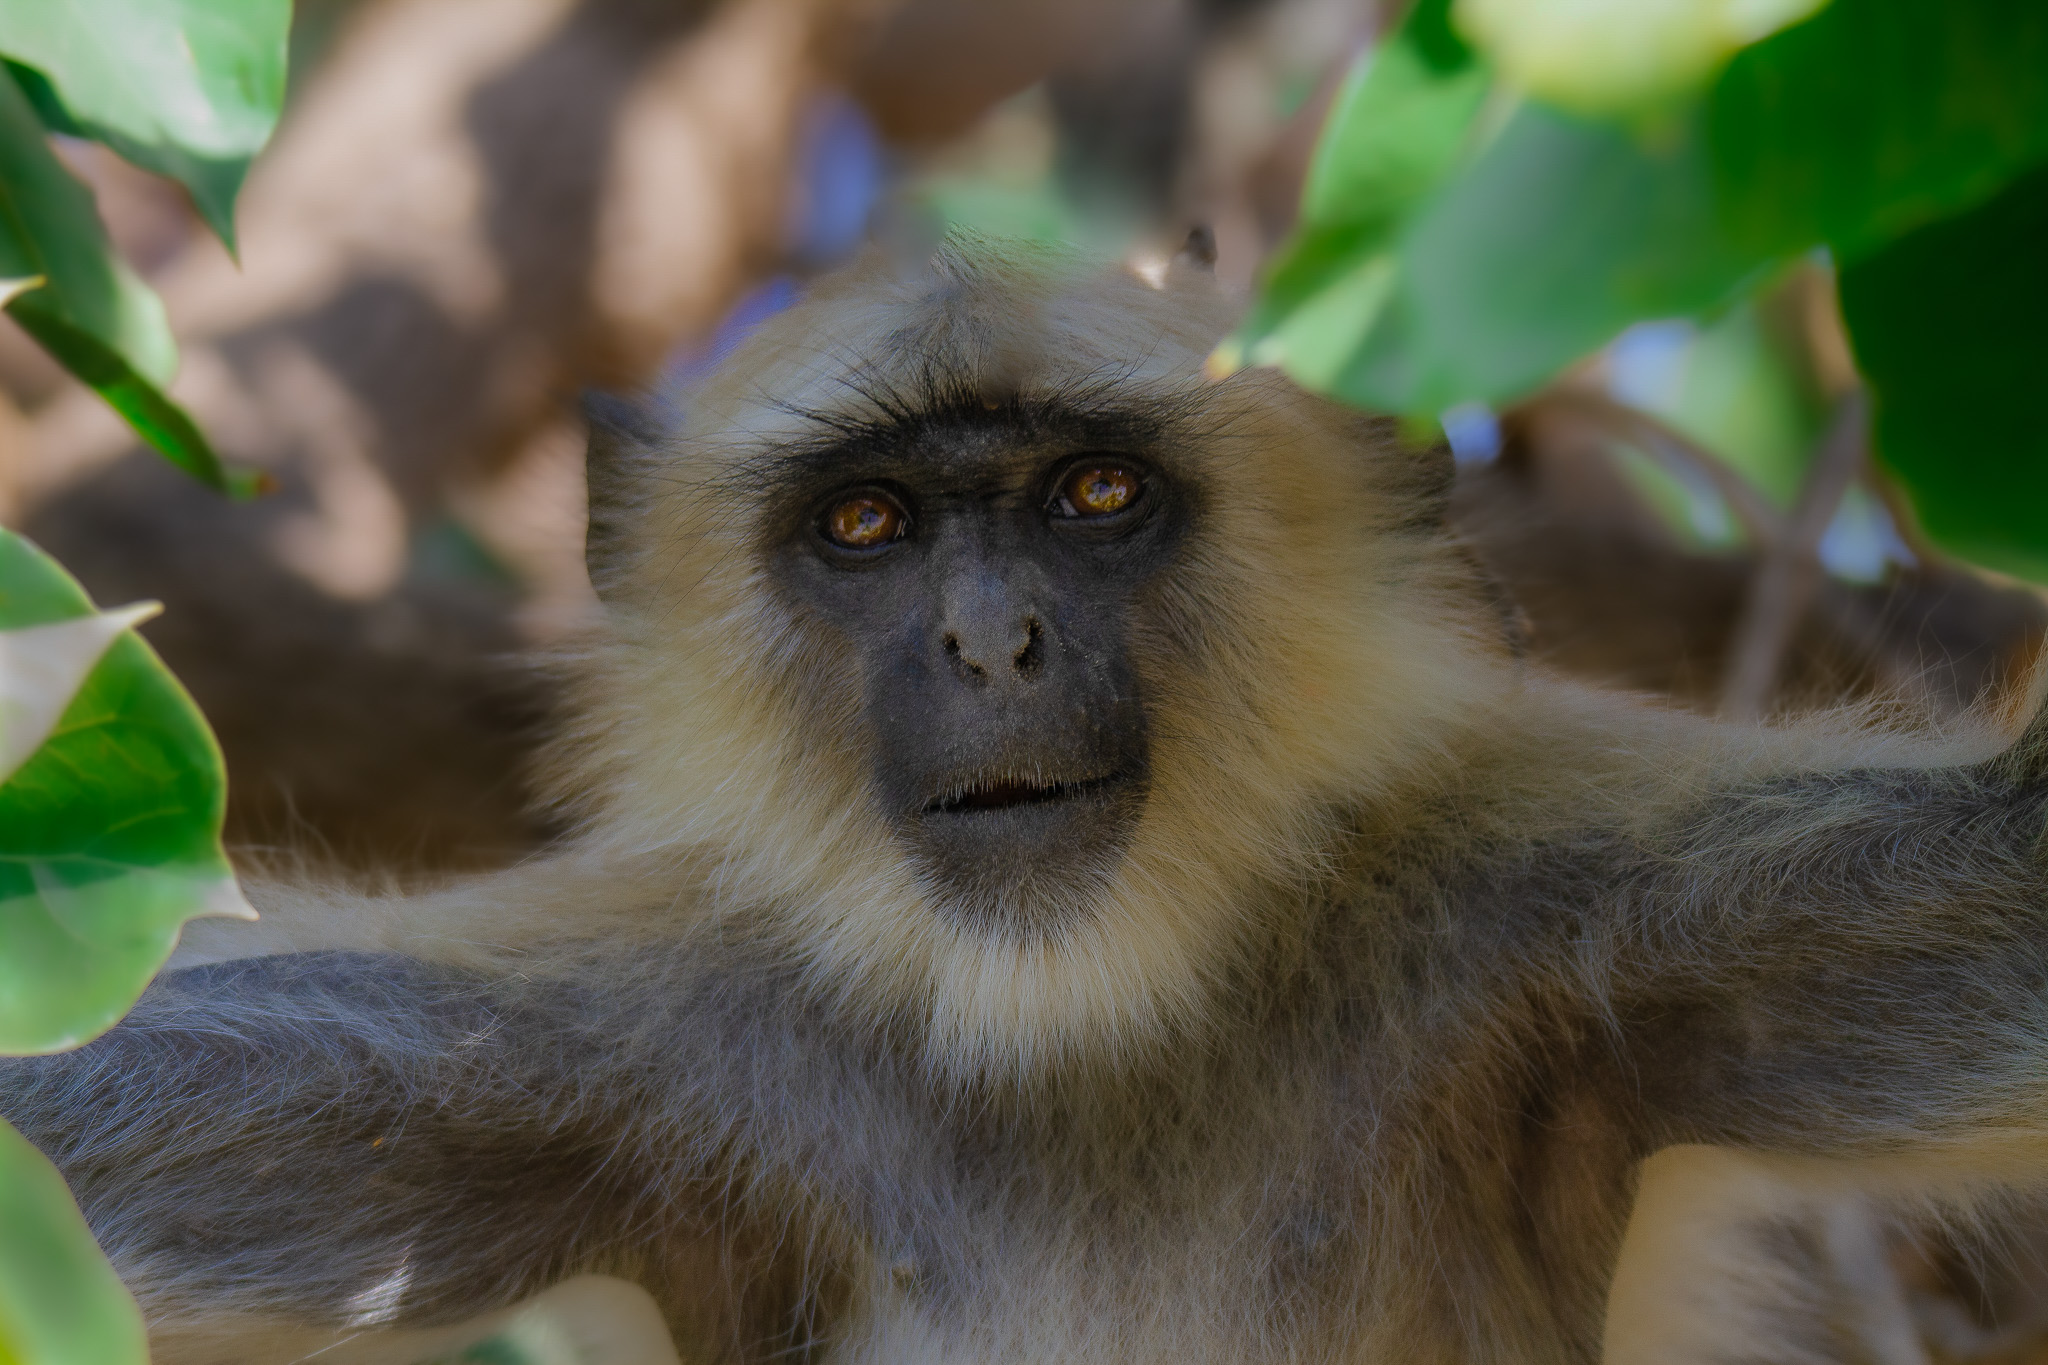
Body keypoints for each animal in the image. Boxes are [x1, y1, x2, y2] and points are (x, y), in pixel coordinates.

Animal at [9, 235, 2048, 1365]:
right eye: (867, 524)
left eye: (1093, 495)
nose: (990, 639)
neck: (1080, 1020)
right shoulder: (612, 1047)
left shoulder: (1555, 914)